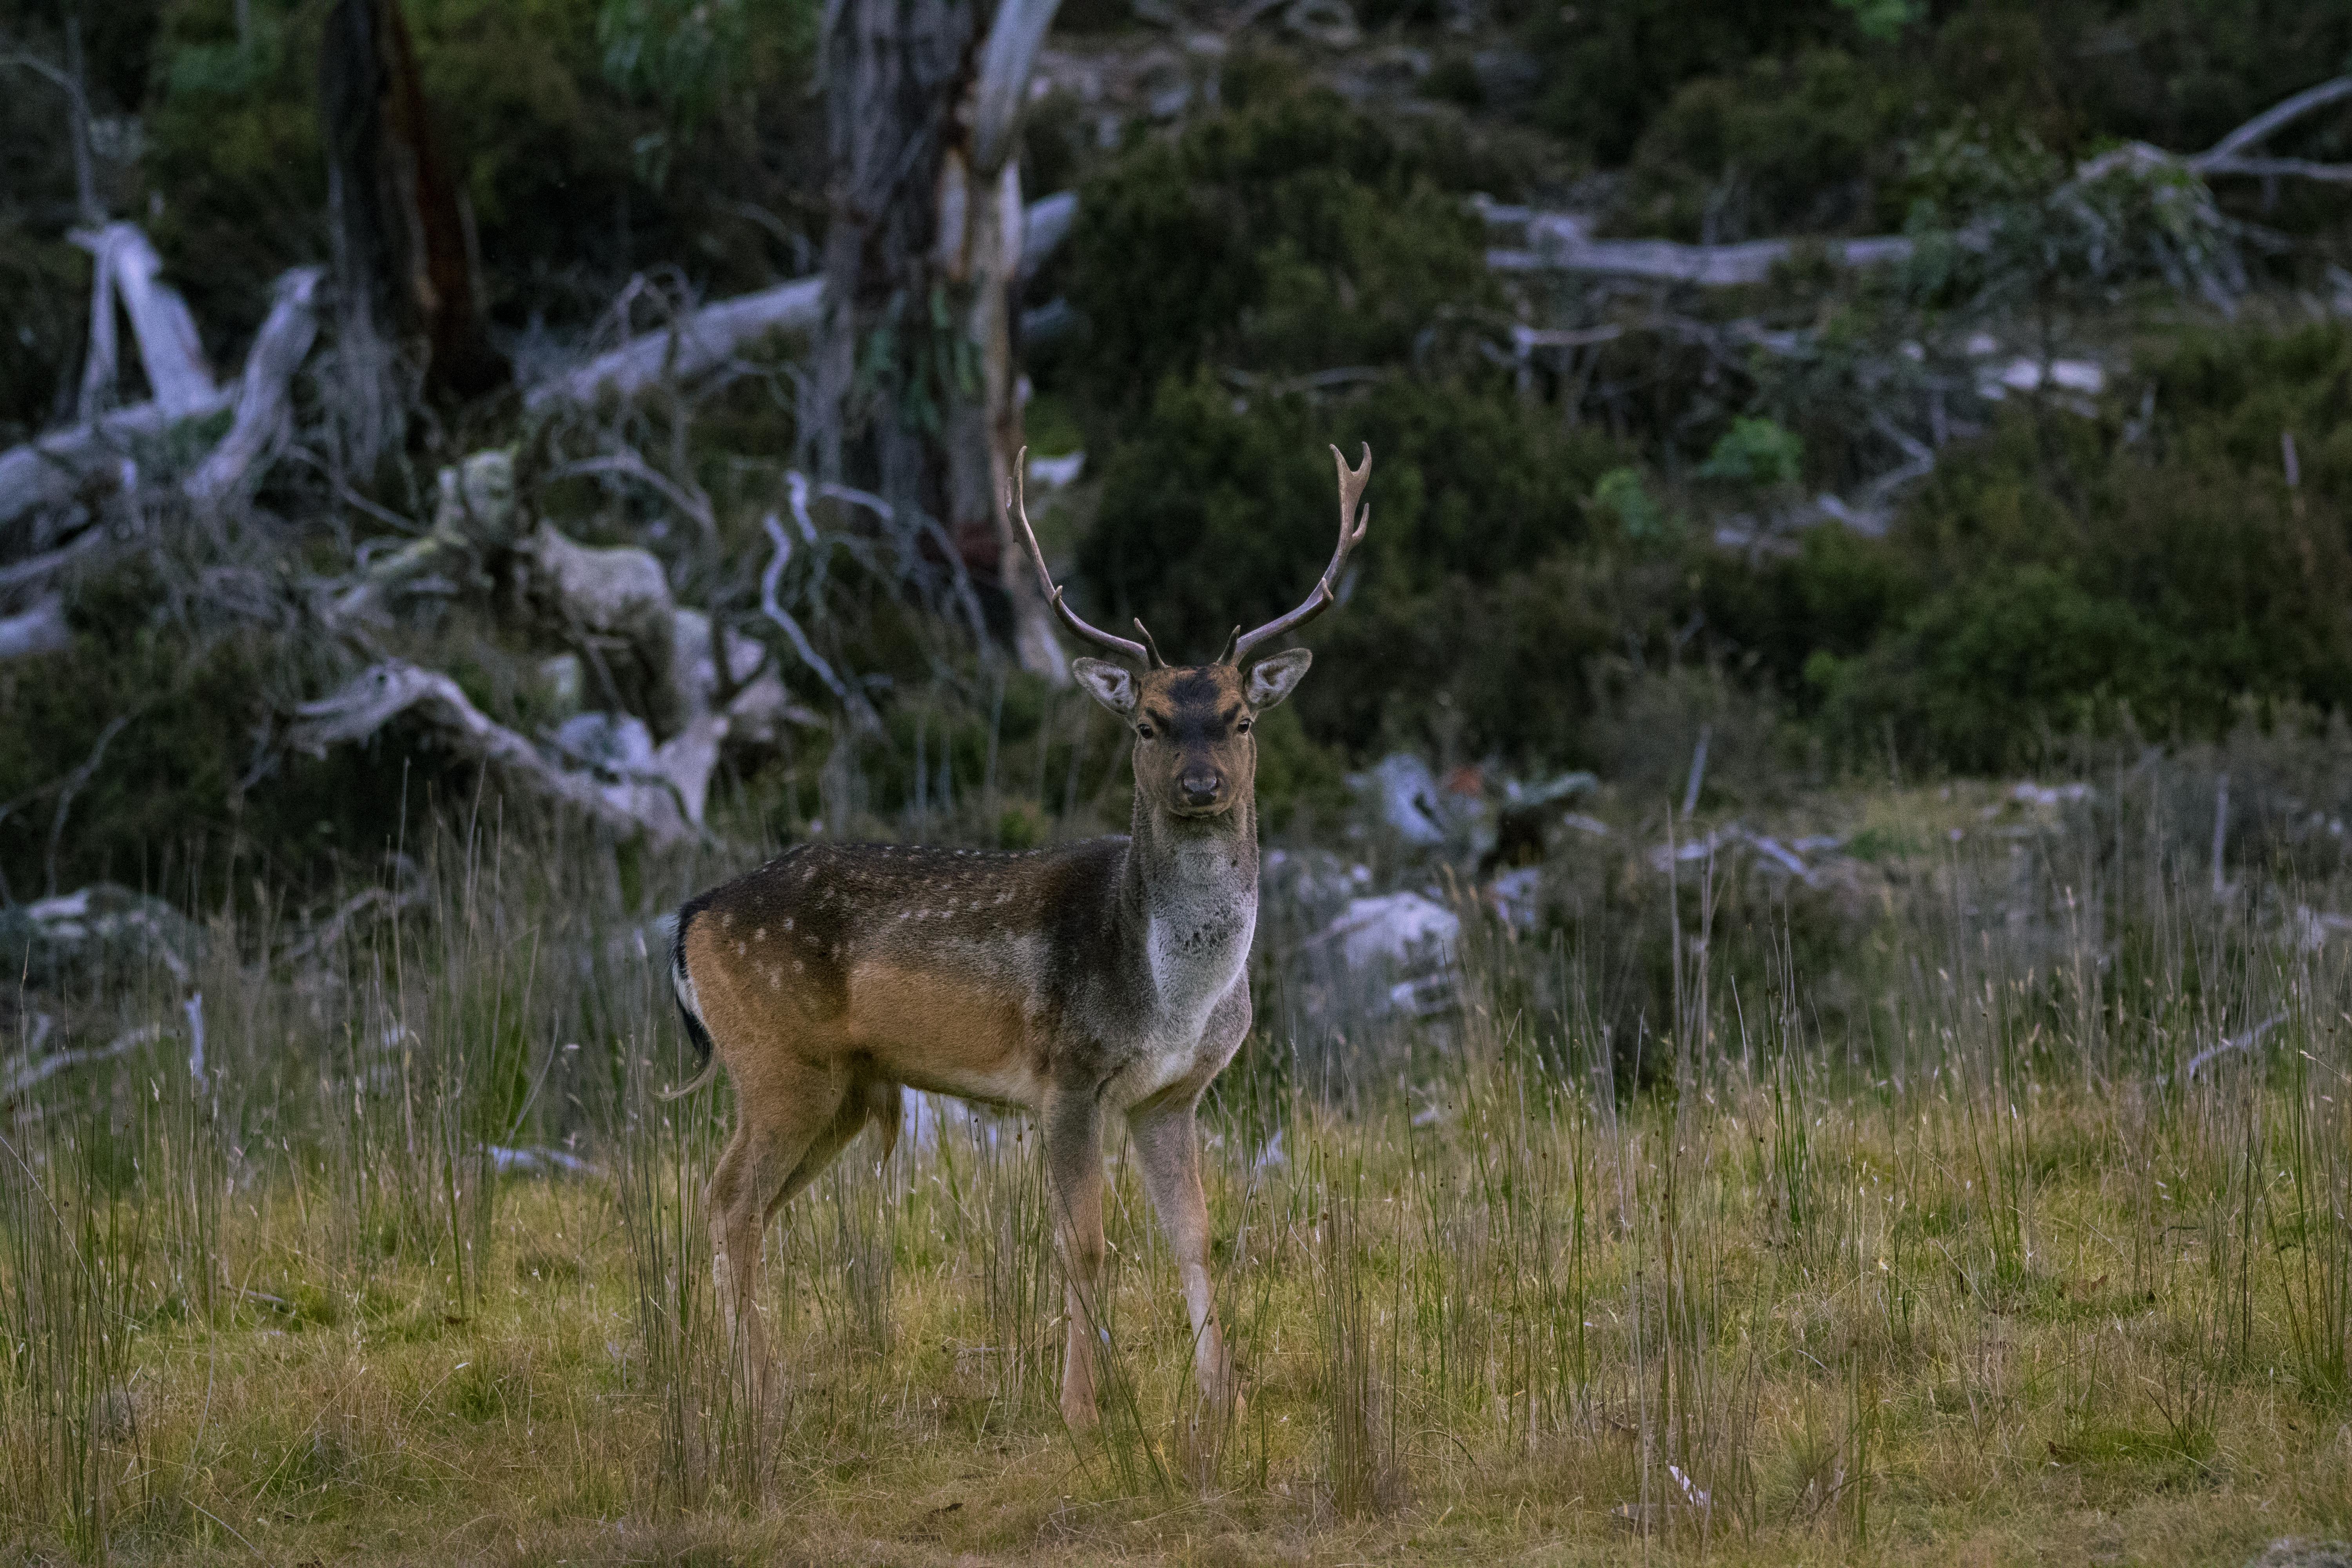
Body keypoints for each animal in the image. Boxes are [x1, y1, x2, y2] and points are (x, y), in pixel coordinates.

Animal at [663, 443, 1372, 1428]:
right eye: (1148, 721)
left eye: (1239, 717)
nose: (1200, 784)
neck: (1172, 995)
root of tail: (692, 915)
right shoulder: (1067, 1075)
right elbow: (1085, 1243)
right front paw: (1082, 1408)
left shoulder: (1173, 1095)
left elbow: (1195, 1236)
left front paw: (1222, 1399)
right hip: (777, 1059)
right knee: (728, 1199)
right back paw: (759, 1398)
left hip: (839, 1086)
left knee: (747, 1207)